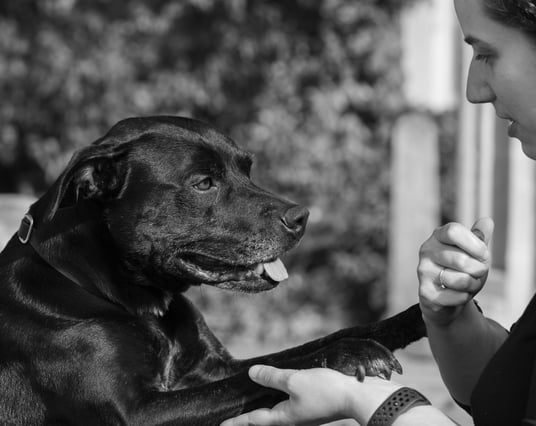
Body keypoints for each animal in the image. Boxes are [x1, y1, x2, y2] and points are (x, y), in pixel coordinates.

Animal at [0, 115, 428, 424]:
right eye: (204, 183)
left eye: (247, 169)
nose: (302, 217)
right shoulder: (137, 412)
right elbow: (271, 370)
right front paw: (350, 352)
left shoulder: (215, 368)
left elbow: (308, 345)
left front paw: (412, 318)